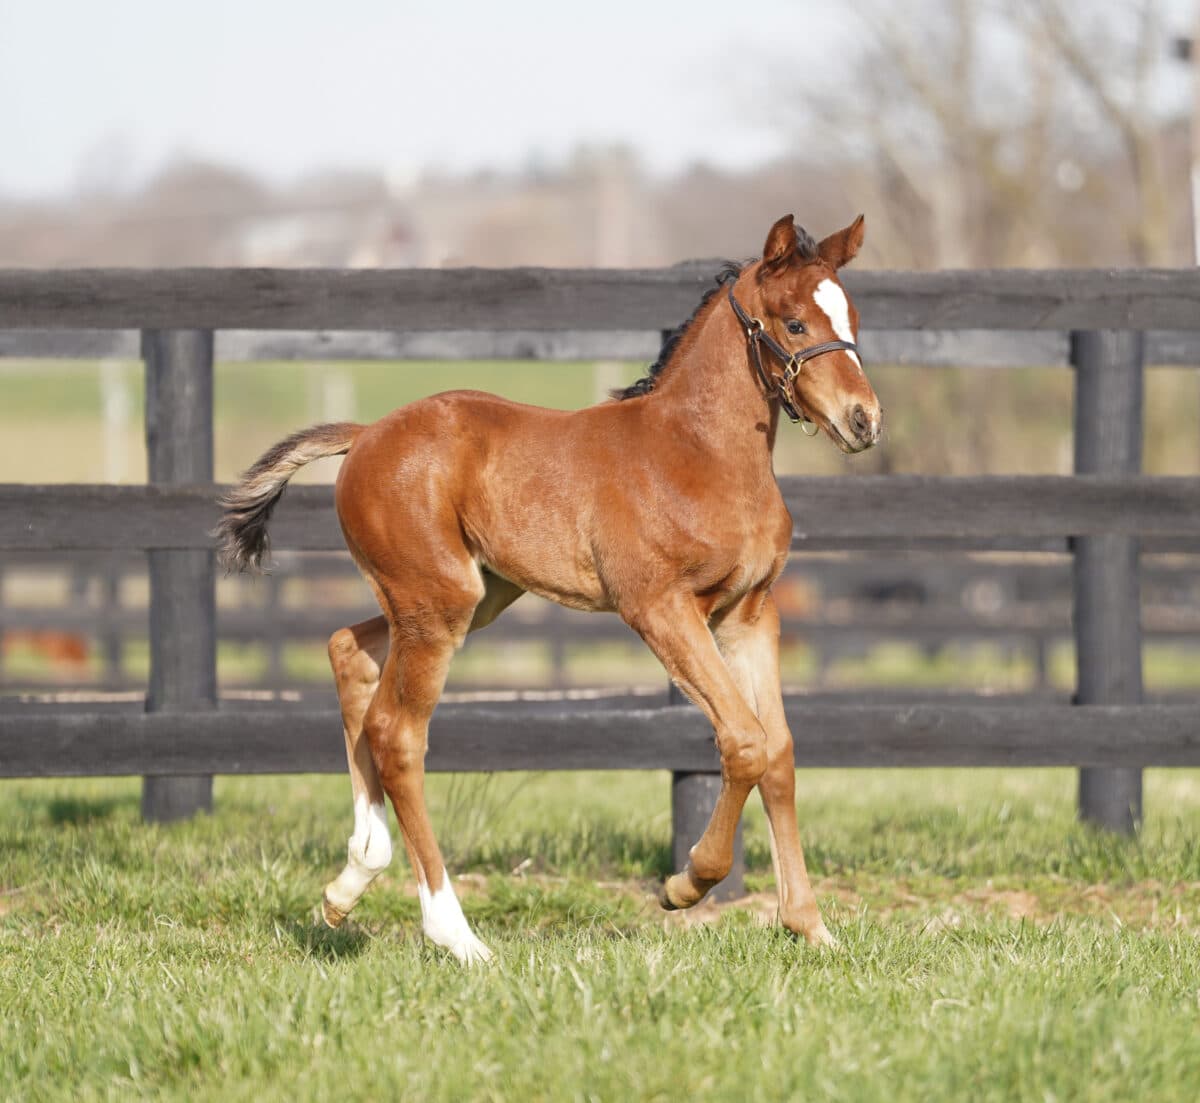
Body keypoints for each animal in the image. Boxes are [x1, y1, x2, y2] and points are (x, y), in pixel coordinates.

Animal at [218, 211, 883, 960]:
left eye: (853, 317)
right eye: (795, 323)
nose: (864, 419)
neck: (699, 455)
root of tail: (364, 436)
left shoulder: (750, 615)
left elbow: (781, 752)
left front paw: (810, 925)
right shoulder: (658, 607)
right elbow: (744, 740)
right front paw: (685, 884)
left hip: (468, 596)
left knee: (347, 650)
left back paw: (352, 878)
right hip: (437, 605)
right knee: (397, 734)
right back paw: (456, 935)